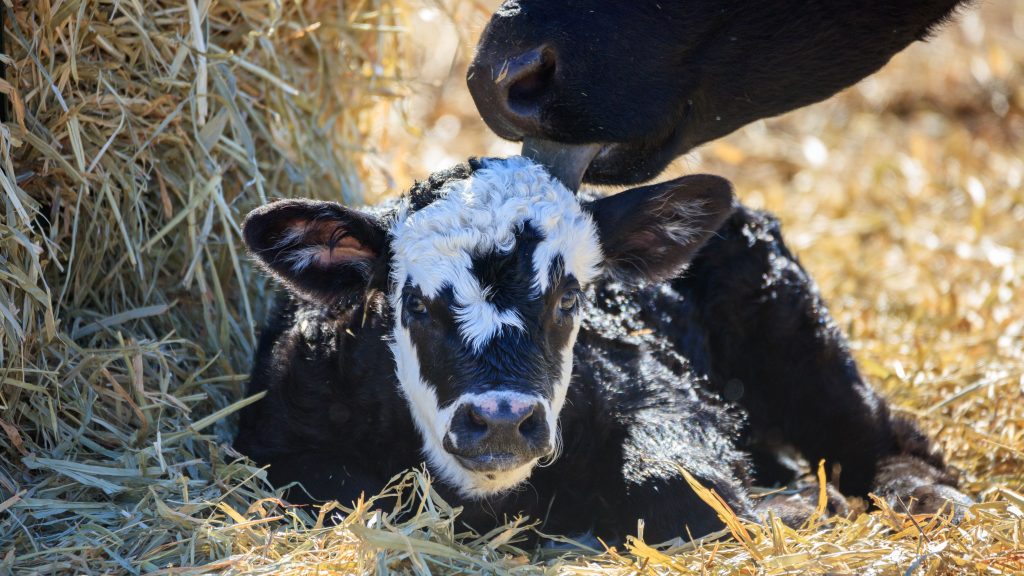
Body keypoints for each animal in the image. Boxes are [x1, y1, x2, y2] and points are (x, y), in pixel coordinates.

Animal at [234, 156, 970, 543]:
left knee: (881, 431)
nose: (501, 420)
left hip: (795, 329)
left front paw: (794, 506)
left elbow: (677, 483)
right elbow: (343, 491)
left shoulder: (663, 391)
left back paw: (923, 494)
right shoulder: (281, 440)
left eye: (570, 298)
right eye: (413, 305)